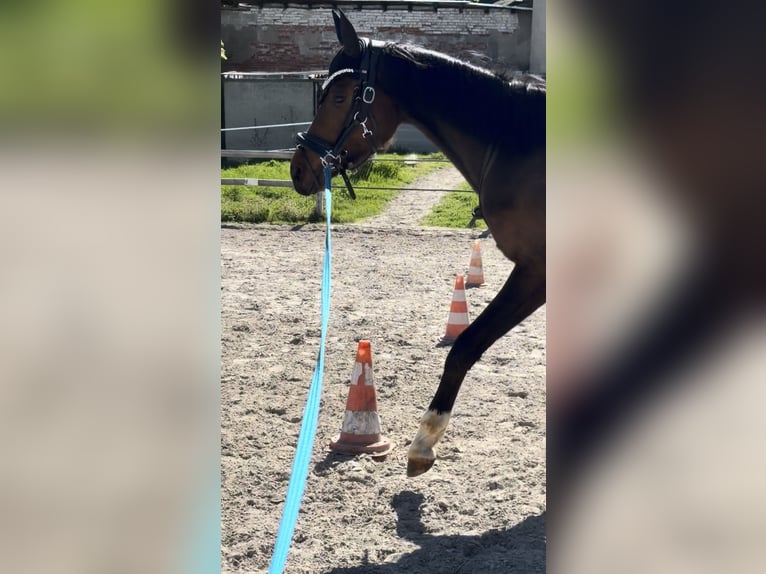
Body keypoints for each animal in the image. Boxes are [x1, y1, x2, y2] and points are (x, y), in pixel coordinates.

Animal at [290, 9, 545, 477]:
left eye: (339, 97)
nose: (299, 168)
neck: (517, 142)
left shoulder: (536, 270)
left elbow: (464, 346)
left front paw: (424, 440)